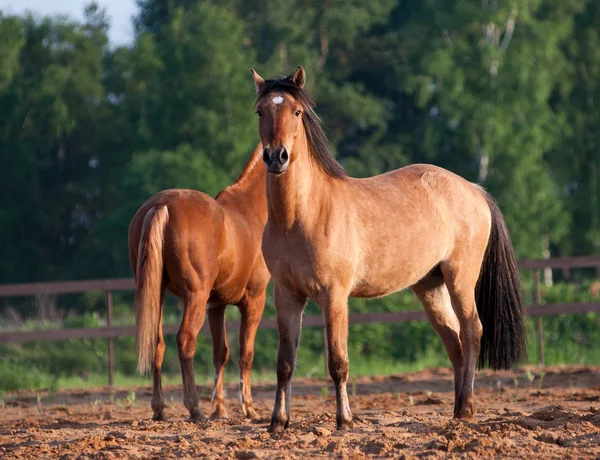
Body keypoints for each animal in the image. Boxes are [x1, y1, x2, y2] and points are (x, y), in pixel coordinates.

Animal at [129, 144, 270, 420]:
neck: (251, 210)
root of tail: (161, 205)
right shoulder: (254, 299)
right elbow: (246, 352)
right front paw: (248, 408)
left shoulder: (216, 305)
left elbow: (221, 353)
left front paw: (220, 408)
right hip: (195, 296)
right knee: (185, 340)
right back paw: (194, 407)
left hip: (157, 294)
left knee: (157, 344)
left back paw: (160, 408)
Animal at [251, 66, 528, 434]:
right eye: (261, 112)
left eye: (296, 112)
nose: (275, 157)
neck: (300, 215)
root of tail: (474, 189)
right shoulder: (287, 295)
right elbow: (284, 362)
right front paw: (278, 422)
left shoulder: (334, 296)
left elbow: (338, 361)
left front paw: (345, 420)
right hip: (430, 286)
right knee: (453, 342)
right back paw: (456, 411)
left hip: (460, 280)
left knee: (472, 332)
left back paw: (468, 407)